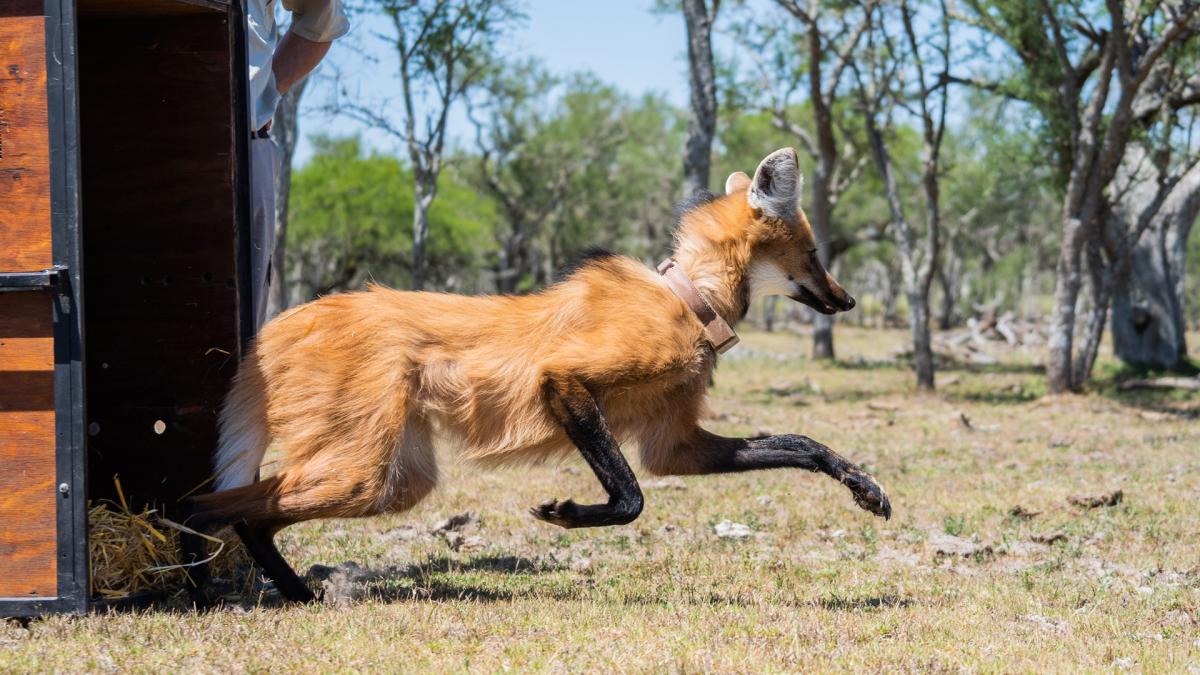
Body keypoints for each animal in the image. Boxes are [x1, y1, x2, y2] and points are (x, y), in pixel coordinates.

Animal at [189, 147, 892, 598]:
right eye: (814, 253)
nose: (850, 300)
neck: (691, 300)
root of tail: (287, 318)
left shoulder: (675, 446)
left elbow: (802, 444)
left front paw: (865, 487)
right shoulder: (565, 380)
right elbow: (631, 497)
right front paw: (567, 513)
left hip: (394, 480)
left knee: (250, 514)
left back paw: (289, 592)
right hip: (361, 470)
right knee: (212, 504)